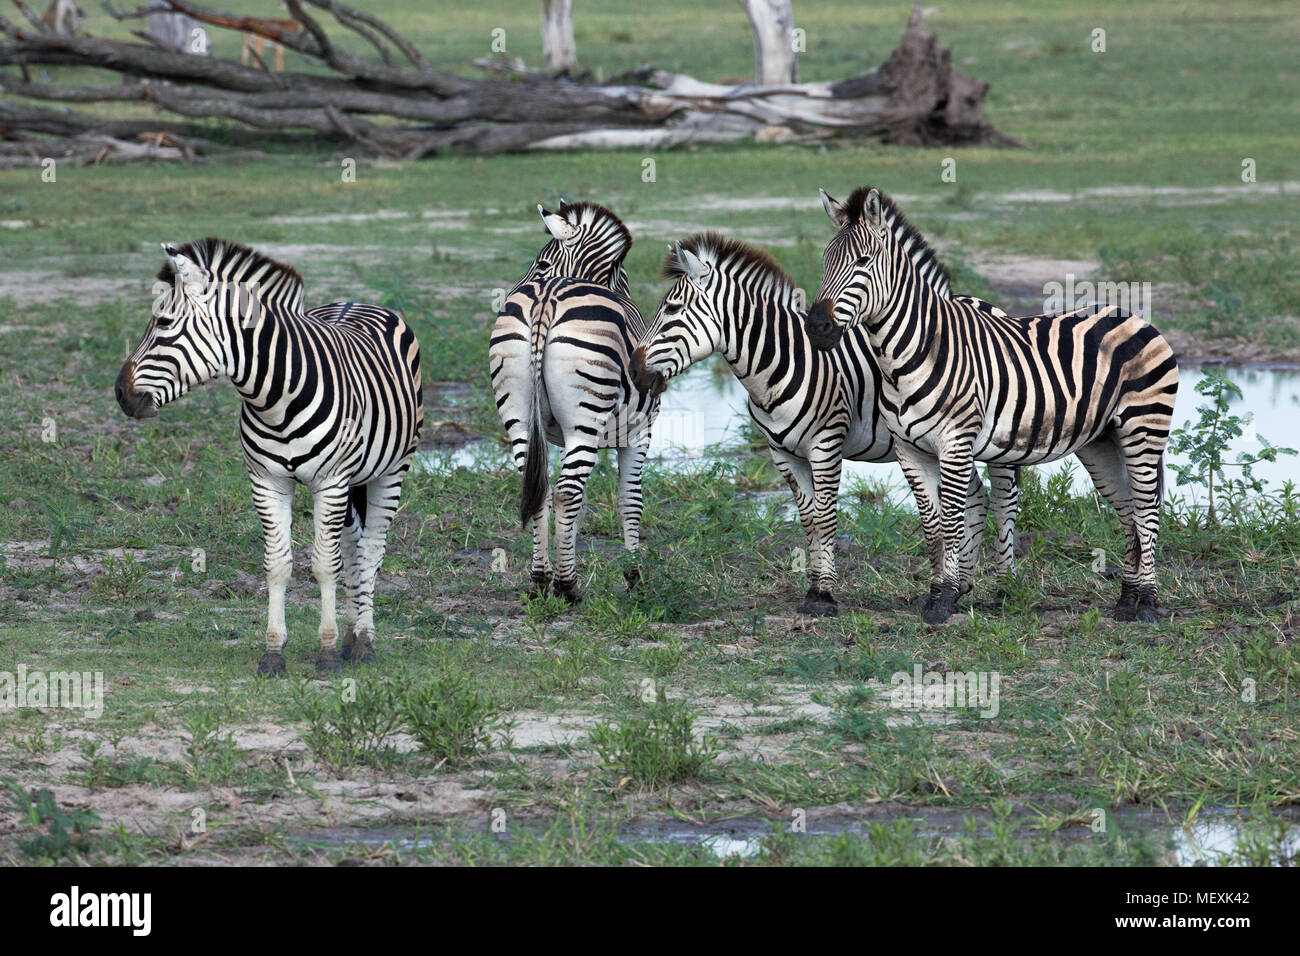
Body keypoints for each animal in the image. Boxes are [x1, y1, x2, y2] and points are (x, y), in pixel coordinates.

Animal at [114, 239, 423, 674]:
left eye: (163, 324)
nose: (120, 394)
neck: (277, 400)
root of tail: (355, 301)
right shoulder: (267, 482)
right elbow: (278, 565)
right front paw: (274, 652)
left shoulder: (330, 483)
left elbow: (324, 564)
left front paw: (326, 652)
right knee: (351, 547)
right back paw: (351, 636)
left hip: (391, 470)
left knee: (370, 550)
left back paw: (363, 642)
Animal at [489, 201, 663, 603]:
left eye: (541, 264)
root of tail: (544, 300)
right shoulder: (639, 433)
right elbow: (630, 501)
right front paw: (634, 575)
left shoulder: (557, 437)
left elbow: (576, 503)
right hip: (586, 421)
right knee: (566, 492)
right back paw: (567, 587)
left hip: (519, 416)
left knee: (538, 488)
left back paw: (540, 580)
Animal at [630, 233, 995, 616]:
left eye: (672, 309)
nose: (634, 372)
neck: (777, 364)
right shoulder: (782, 453)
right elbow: (807, 519)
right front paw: (813, 588)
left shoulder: (826, 444)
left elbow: (825, 517)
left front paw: (825, 593)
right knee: (977, 496)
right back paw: (962, 585)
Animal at [806, 186, 1179, 623]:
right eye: (824, 261)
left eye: (863, 262)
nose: (816, 327)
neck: (911, 351)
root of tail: (1134, 317)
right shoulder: (909, 448)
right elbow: (931, 523)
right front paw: (937, 592)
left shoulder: (955, 442)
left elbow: (952, 517)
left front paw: (944, 600)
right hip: (1102, 441)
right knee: (1129, 509)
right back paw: (1127, 599)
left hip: (1144, 427)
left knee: (1147, 509)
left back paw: (1148, 602)